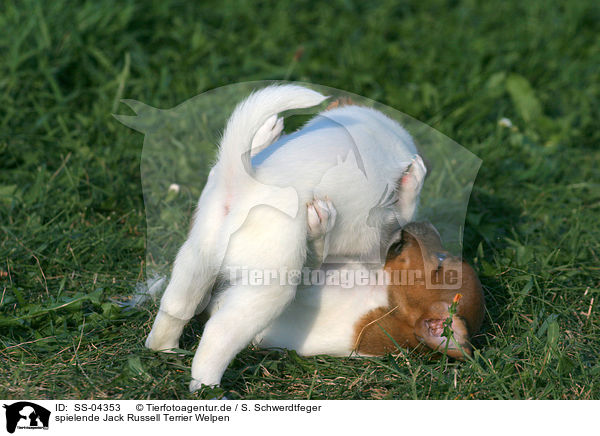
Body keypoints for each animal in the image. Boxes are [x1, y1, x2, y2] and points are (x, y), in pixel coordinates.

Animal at [145, 83, 426, 390]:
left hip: (196, 258)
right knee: (218, 332)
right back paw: (207, 387)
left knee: (176, 306)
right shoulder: (380, 241)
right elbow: (406, 207)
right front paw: (415, 178)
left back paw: (165, 348)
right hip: (269, 286)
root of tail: (244, 186)